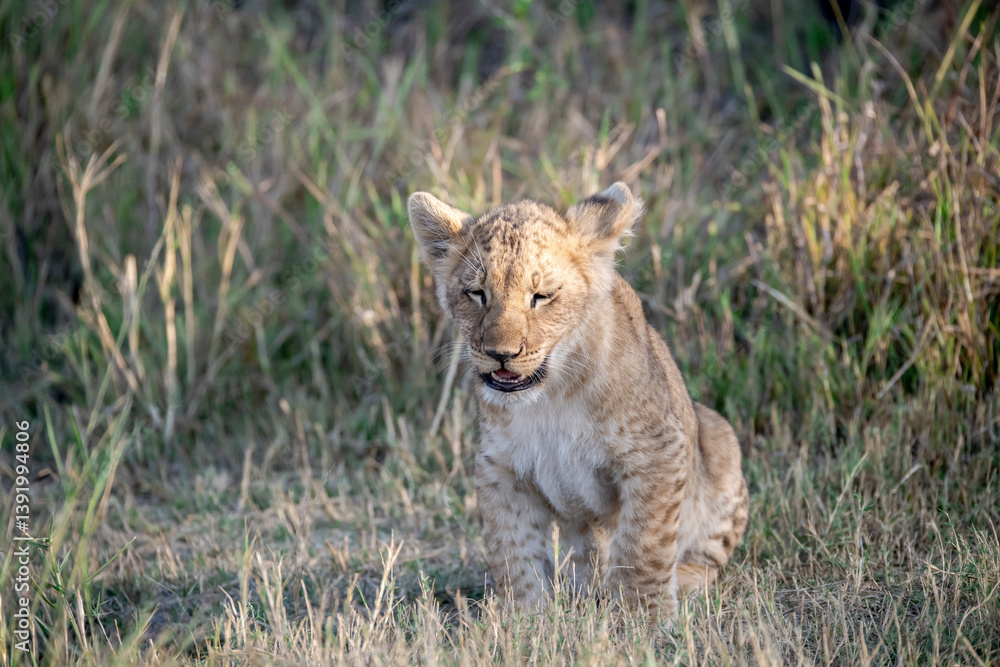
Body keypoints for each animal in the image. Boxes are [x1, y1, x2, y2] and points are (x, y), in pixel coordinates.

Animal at [408, 182, 749, 621]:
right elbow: (513, 552)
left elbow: (644, 545)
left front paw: (647, 619)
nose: (501, 354)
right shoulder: (500, 468)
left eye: (541, 296)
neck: (550, 396)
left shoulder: (656, 453)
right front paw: (524, 620)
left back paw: (682, 583)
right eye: (477, 293)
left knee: (703, 559)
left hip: (720, 438)